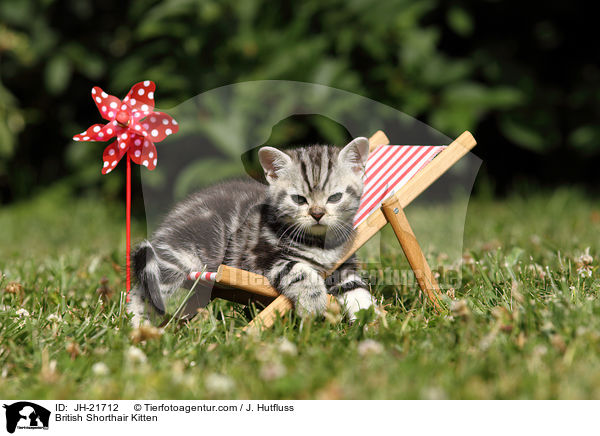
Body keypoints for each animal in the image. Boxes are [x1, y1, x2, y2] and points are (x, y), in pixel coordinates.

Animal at [127, 138, 376, 326]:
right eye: (299, 199)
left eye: (335, 197)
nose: (317, 213)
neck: (319, 243)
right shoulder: (258, 258)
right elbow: (299, 270)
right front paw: (313, 302)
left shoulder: (342, 264)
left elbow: (355, 287)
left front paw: (371, 319)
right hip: (178, 262)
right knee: (142, 292)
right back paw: (136, 327)